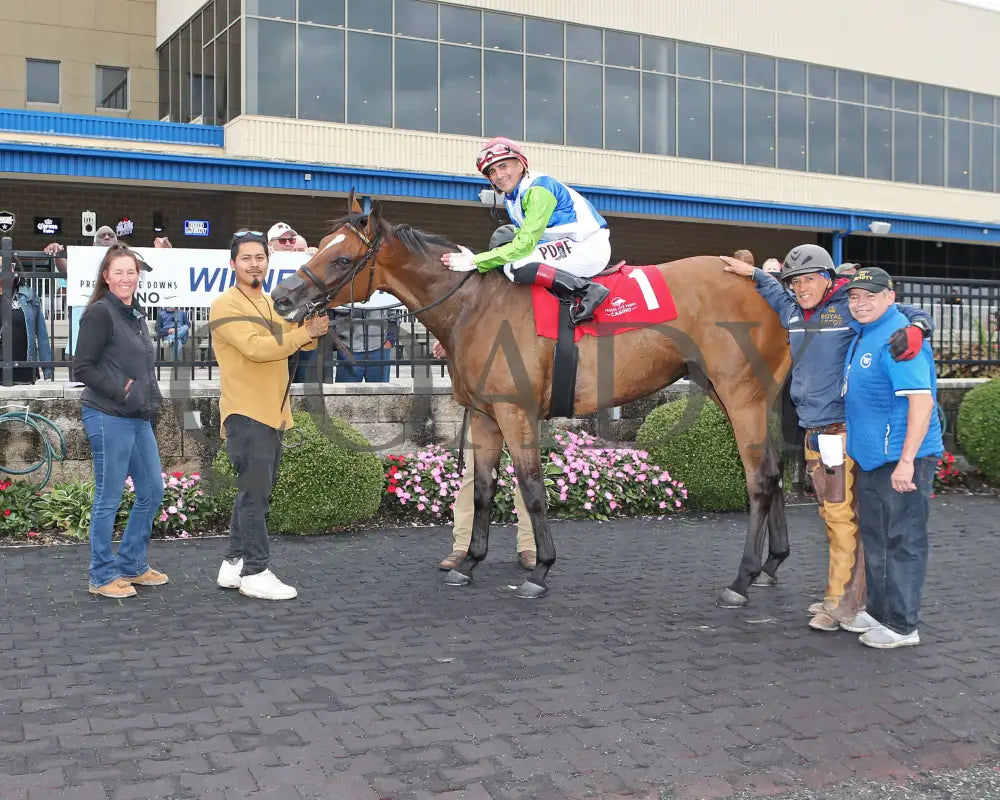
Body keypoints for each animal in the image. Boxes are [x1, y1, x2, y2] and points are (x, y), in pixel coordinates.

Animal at [272, 197, 788, 604]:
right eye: (321, 245)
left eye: (342, 260)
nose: (282, 297)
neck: (476, 306)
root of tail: (762, 283)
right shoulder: (483, 414)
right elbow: (482, 490)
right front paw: (468, 562)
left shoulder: (515, 411)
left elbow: (532, 488)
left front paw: (540, 569)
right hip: (739, 395)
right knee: (775, 470)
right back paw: (771, 565)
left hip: (739, 394)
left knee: (758, 479)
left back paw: (741, 580)